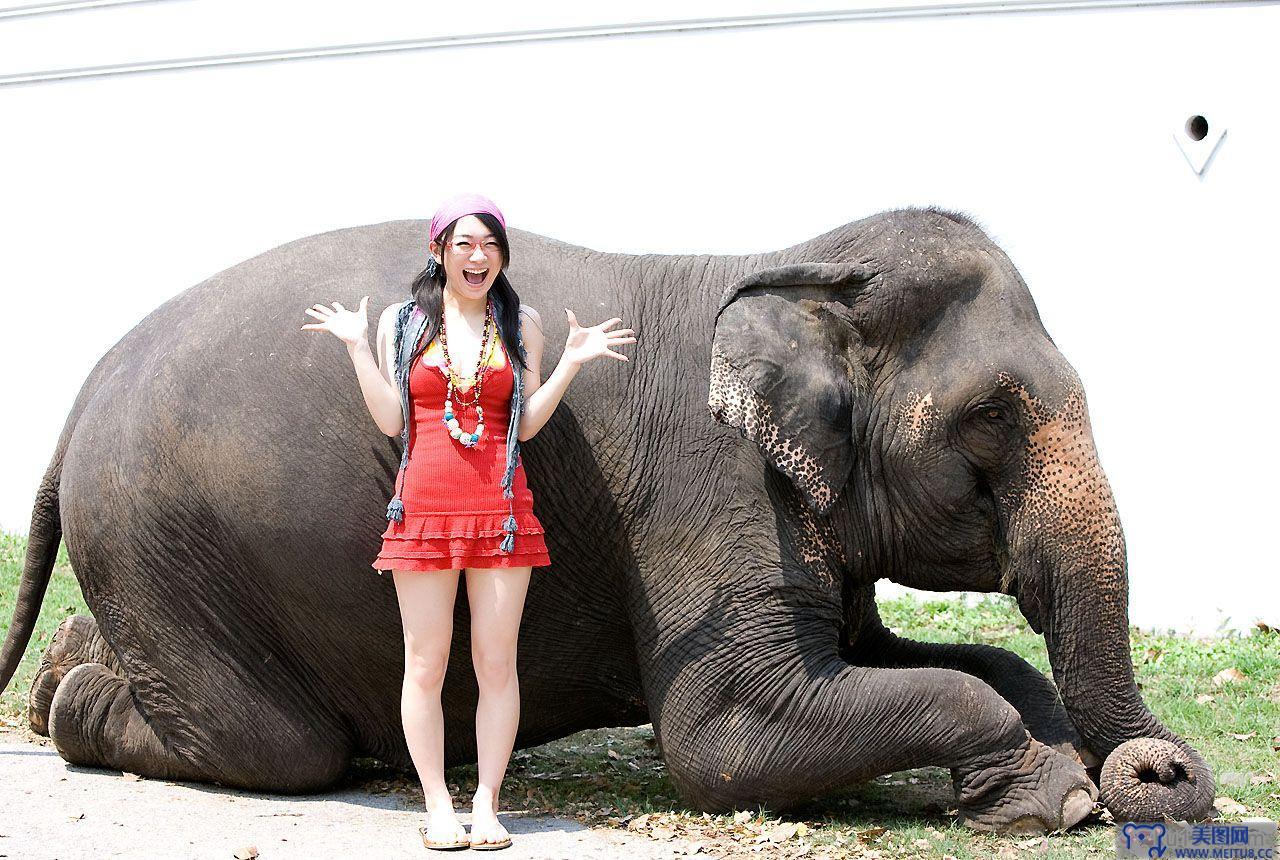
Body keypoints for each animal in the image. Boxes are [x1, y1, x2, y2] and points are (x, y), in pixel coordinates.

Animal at [0, 204, 1213, 829]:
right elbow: (727, 736)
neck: (795, 259)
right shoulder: (710, 489)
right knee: (278, 748)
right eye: (990, 416)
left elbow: (911, 659)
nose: (1168, 774)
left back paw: (63, 677)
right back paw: (69, 706)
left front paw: (1056, 754)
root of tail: (72, 408)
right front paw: (1059, 795)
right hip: (161, 537)